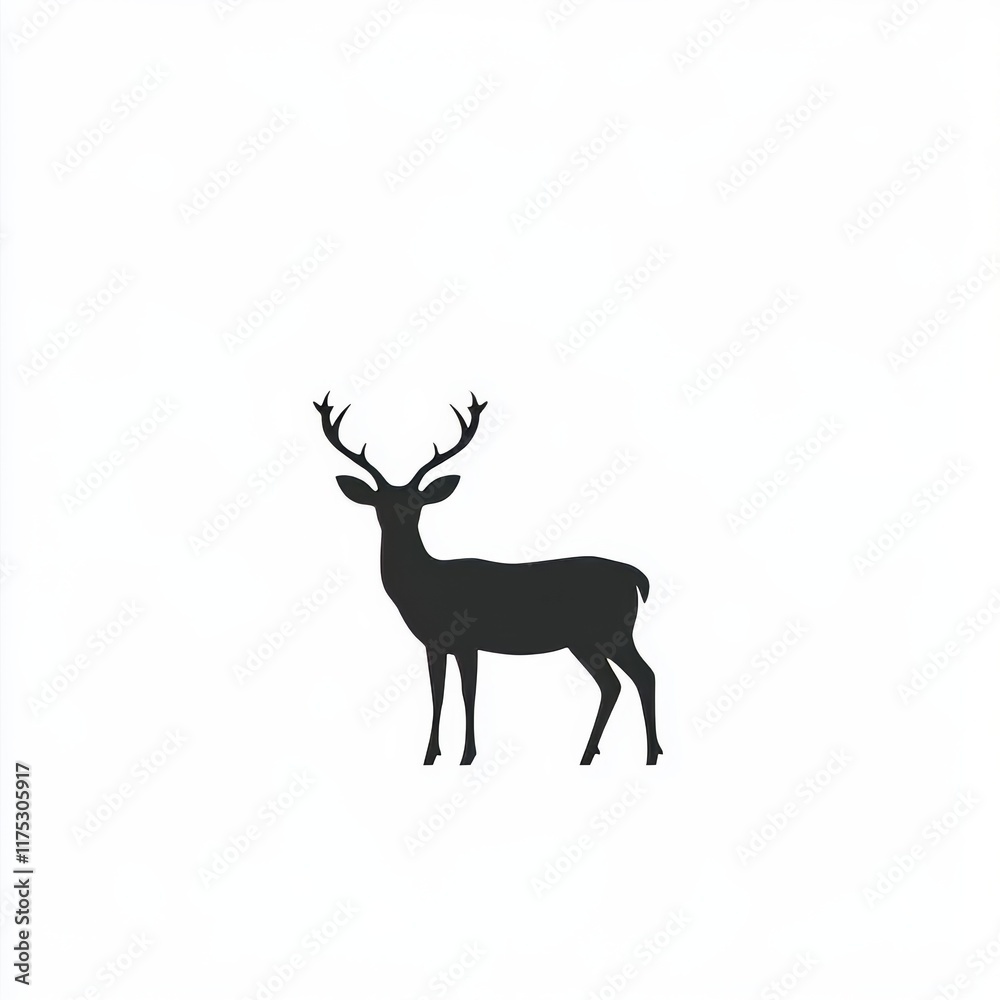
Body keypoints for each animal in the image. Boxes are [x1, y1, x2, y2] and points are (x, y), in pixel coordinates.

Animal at [314, 391, 662, 766]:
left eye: (417, 501)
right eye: (380, 502)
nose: (399, 517)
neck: (425, 587)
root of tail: (636, 577)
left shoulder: (467, 638)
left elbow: (468, 693)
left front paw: (467, 755)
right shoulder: (433, 644)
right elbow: (438, 693)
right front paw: (430, 755)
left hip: (613, 631)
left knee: (644, 675)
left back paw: (650, 754)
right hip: (584, 641)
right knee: (612, 684)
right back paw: (588, 755)